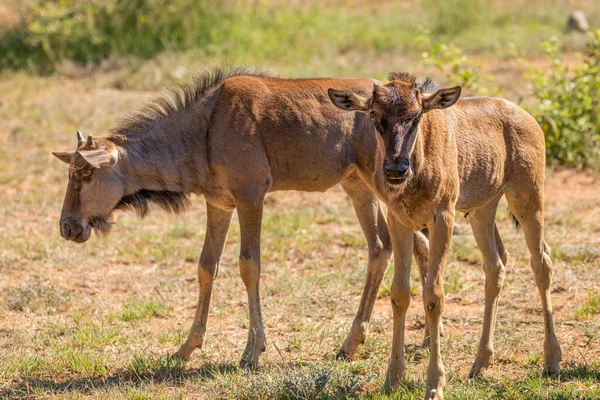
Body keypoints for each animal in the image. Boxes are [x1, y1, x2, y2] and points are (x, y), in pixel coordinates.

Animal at [51, 65, 432, 368]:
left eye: (84, 174)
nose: (67, 226)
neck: (205, 128)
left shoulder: (251, 196)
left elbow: (249, 266)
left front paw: (252, 351)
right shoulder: (219, 204)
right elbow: (207, 266)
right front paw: (186, 347)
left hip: (382, 183)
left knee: (406, 242)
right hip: (357, 186)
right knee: (389, 246)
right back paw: (377, 342)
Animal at [328, 73, 564, 398]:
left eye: (416, 116)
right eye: (374, 115)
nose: (395, 169)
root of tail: (527, 118)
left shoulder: (443, 218)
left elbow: (433, 295)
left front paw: (435, 384)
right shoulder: (399, 221)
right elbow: (400, 294)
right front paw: (393, 378)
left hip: (528, 200)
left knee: (541, 263)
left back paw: (551, 360)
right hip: (482, 210)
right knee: (495, 266)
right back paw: (480, 364)